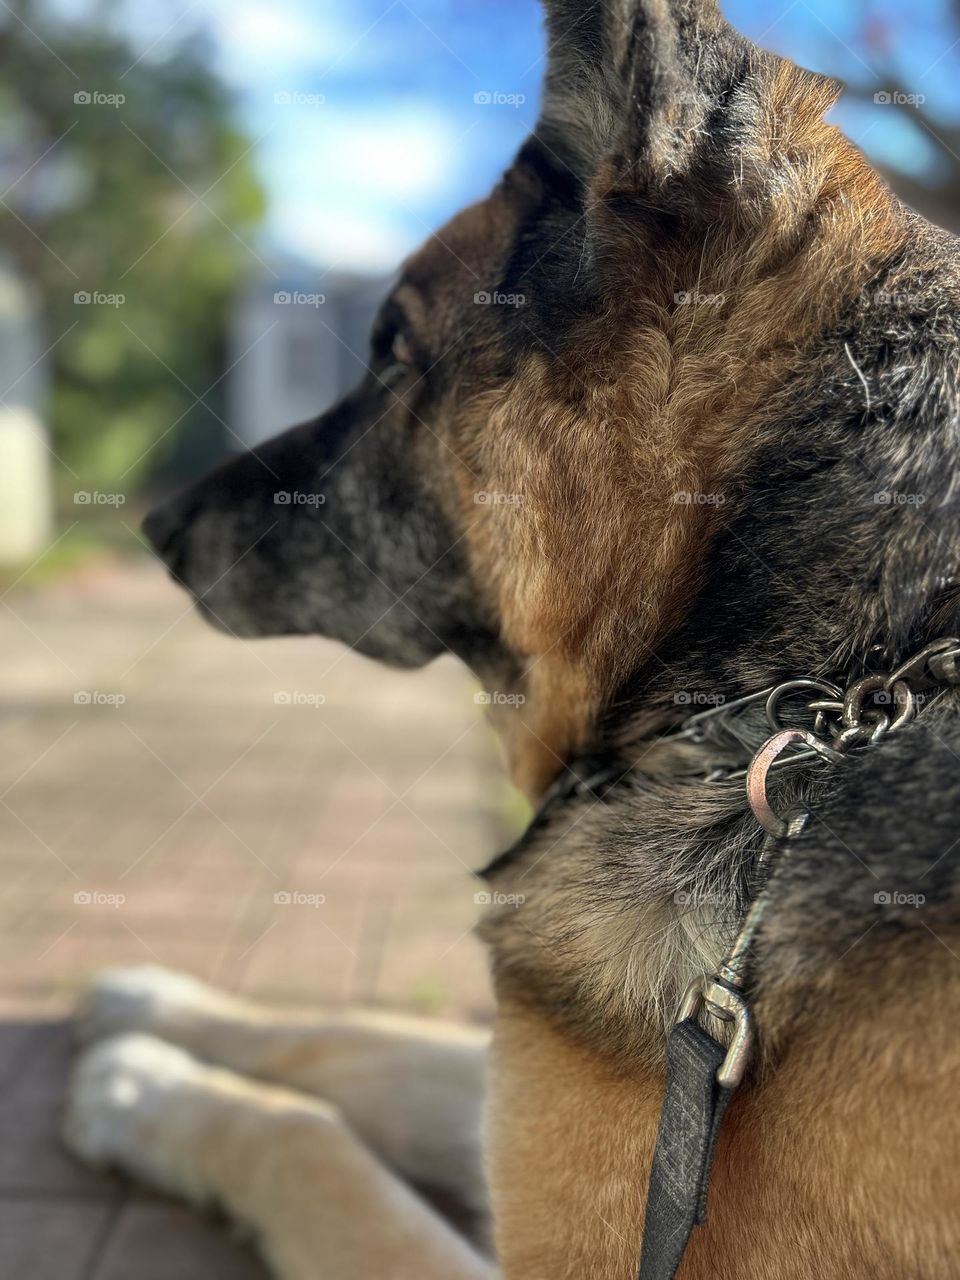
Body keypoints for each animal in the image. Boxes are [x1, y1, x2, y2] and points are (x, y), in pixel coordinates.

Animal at [64, 2, 957, 1280]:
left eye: (391, 345)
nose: (159, 528)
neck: (804, 679)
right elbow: (356, 1034)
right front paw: (156, 1010)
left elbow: (307, 1137)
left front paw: (140, 1086)